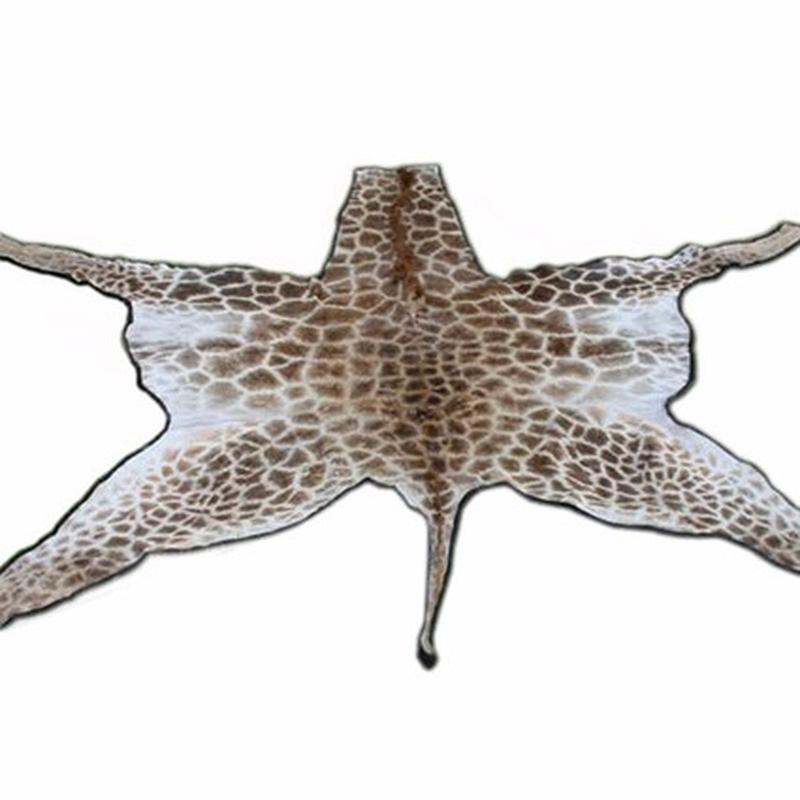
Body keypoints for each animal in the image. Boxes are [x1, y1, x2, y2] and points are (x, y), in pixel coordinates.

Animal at [0, 164, 799, 667]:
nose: (395, 170)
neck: (408, 276)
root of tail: (437, 473)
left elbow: (699, 254)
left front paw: (776, 235)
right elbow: (90, 260)